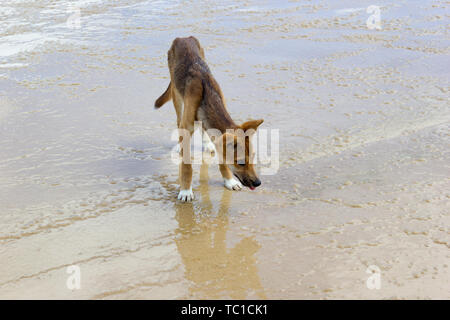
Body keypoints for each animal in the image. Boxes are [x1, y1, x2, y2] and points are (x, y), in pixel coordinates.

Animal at [154, 36, 262, 201]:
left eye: (253, 159)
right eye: (241, 163)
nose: (258, 183)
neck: (207, 97)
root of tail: (183, 38)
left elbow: (222, 159)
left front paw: (229, 181)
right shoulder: (187, 127)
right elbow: (187, 167)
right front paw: (185, 190)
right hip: (177, 98)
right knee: (179, 122)